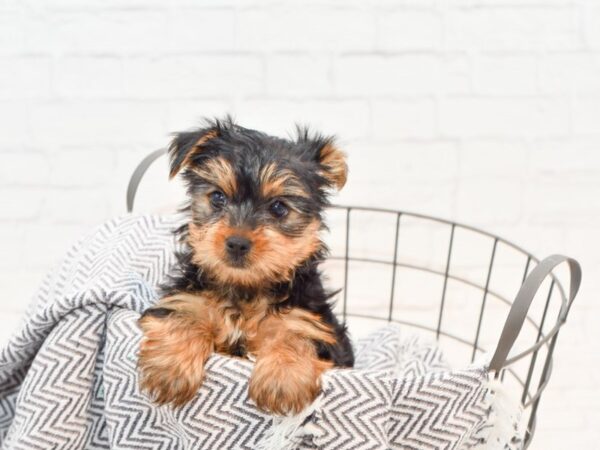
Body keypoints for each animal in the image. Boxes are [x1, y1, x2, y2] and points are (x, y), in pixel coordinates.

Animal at [138, 117, 354, 414]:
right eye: (218, 198)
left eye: (278, 208)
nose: (237, 243)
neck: (245, 287)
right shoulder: (189, 297)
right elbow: (185, 315)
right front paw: (170, 369)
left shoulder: (309, 319)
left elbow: (294, 332)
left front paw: (282, 379)